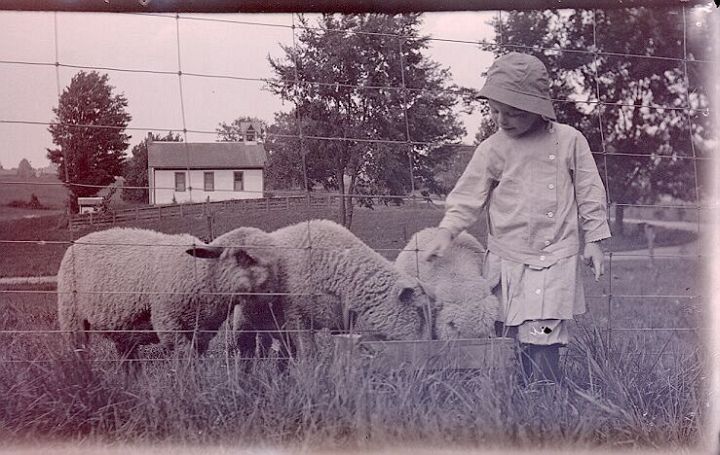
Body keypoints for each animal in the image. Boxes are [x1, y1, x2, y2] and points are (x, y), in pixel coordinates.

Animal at [55, 228, 282, 364]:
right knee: (78, 351)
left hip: (122, 327)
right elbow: (186, 358)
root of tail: (78, 241)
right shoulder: (168, 324)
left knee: (128, 358)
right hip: (71, 317)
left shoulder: (202, 332)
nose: (275, 288)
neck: (198, 273)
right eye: (242, 256)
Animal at [191, 219, 436, 358]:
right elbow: (310, 355)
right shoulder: (296, 317)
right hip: (242, 322)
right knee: (246, 349)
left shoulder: (343, 321)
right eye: (419, 312)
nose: (429, 352)